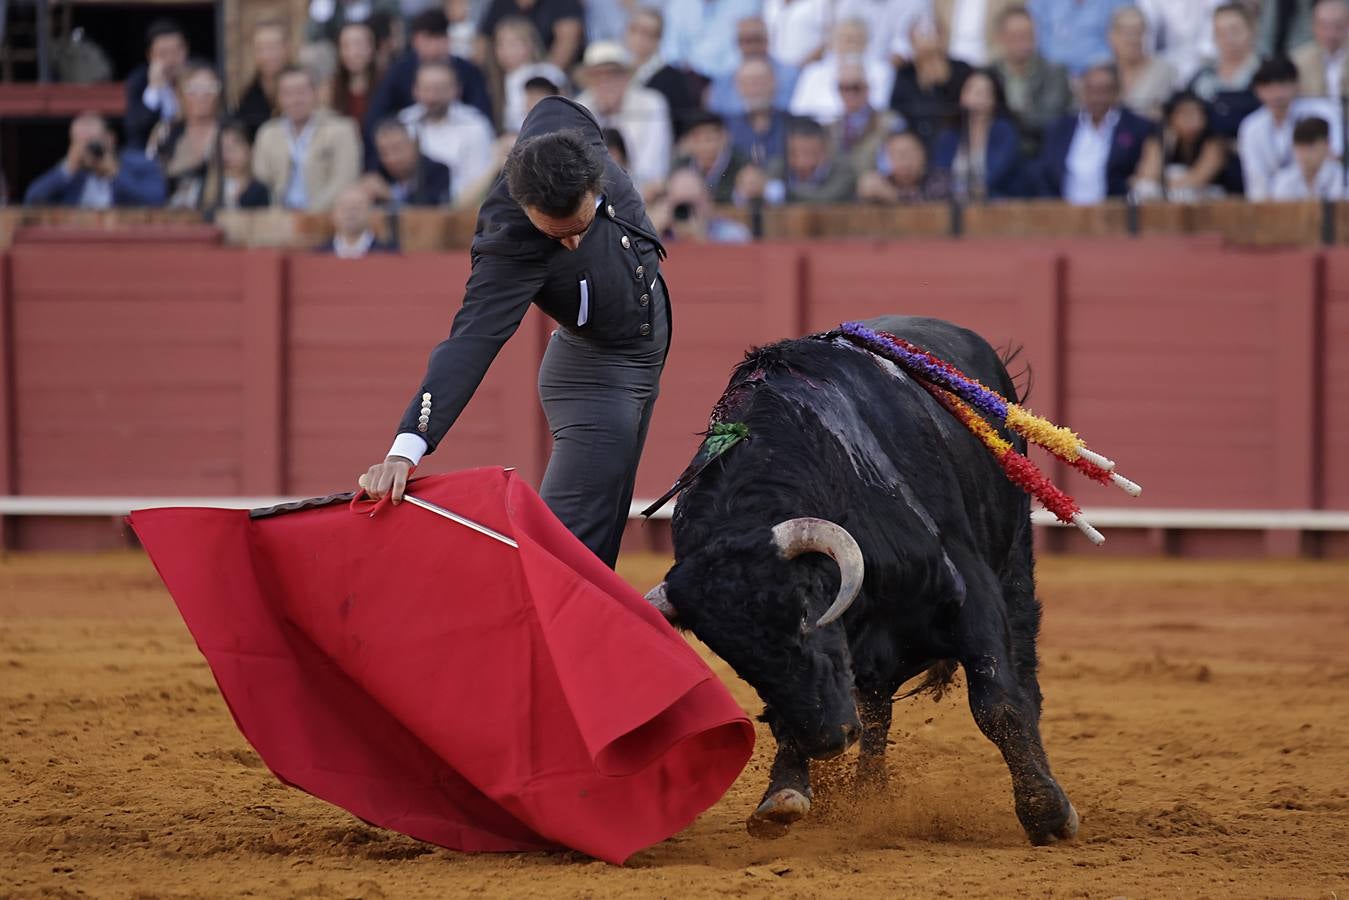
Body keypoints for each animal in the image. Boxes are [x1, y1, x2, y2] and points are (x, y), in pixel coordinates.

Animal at [647, 315, 1079, 847]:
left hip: (1015, 558)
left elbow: (997, 702)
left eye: (806, 609)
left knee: (1022, 672)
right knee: (876, 714)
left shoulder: (970, 595)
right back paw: (869, 794)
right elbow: (795, 714)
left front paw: (1046, 813)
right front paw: (784, 793)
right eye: (734, 657)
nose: (828, 740)